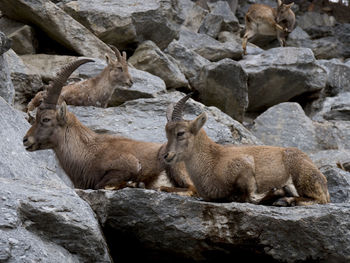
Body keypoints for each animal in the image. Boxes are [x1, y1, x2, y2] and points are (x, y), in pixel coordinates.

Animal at [161, 94, 330, 207]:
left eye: (180, 133)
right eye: (166, 133)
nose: (165, 155)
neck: (212, 160)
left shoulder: (245, 166)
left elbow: (250, 198)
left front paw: (278, 193)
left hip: (302, 176)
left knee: (320, 199)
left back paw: (286, 199)